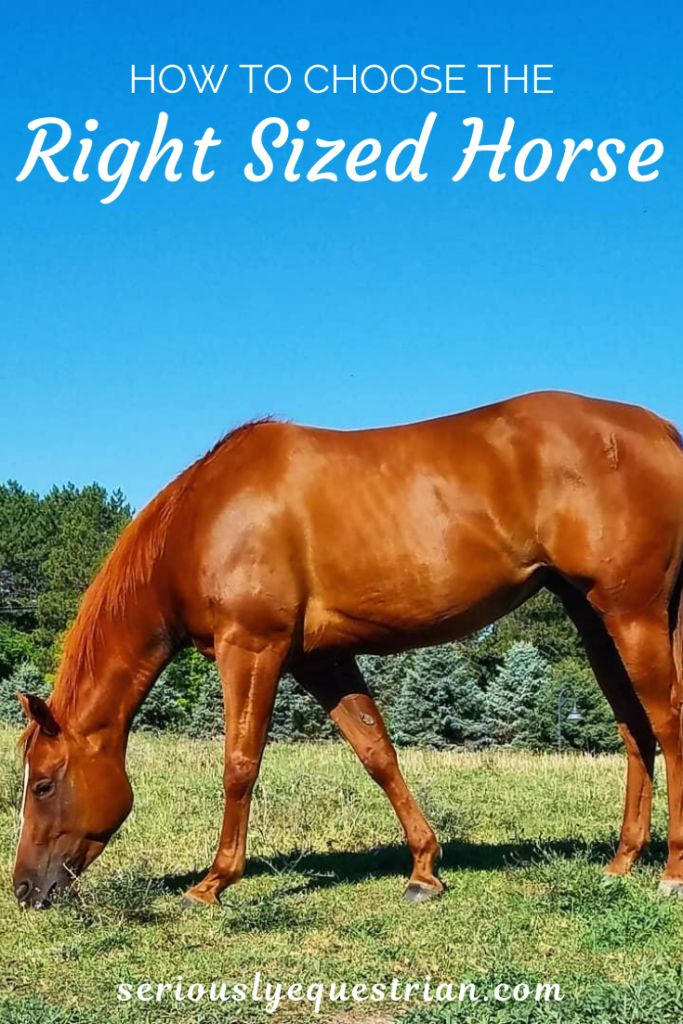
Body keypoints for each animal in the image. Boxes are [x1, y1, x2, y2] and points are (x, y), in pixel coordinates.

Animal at [13, 391, 683, 910]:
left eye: (43, 784)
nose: (23, 890)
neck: (204, 516)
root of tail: (660, 431)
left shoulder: (251, 647)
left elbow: (240, 763)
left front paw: (212, 883)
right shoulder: (321, 660)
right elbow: (376, 753)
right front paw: (424, 871)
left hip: (633, 614)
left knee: (666, 721)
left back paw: (670, 873)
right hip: (594, 618)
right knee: (633, 727)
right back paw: (621, 863)